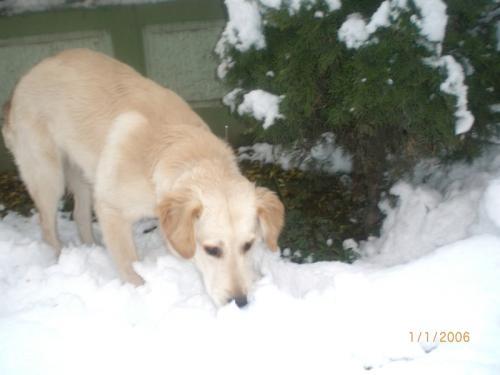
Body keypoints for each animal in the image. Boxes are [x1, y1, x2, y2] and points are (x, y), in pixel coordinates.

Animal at [2, 48, 286, 308]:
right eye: (212, 250)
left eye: (248, 245)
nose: (241, 302)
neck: (184, 153)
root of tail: (26, 77)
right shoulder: (111, 209)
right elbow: (129, 265)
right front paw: (140, 294)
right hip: (49, 176)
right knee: (48, 224)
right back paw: (59, 257)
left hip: (84, 175)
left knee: (79, 215)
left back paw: (92, 250)